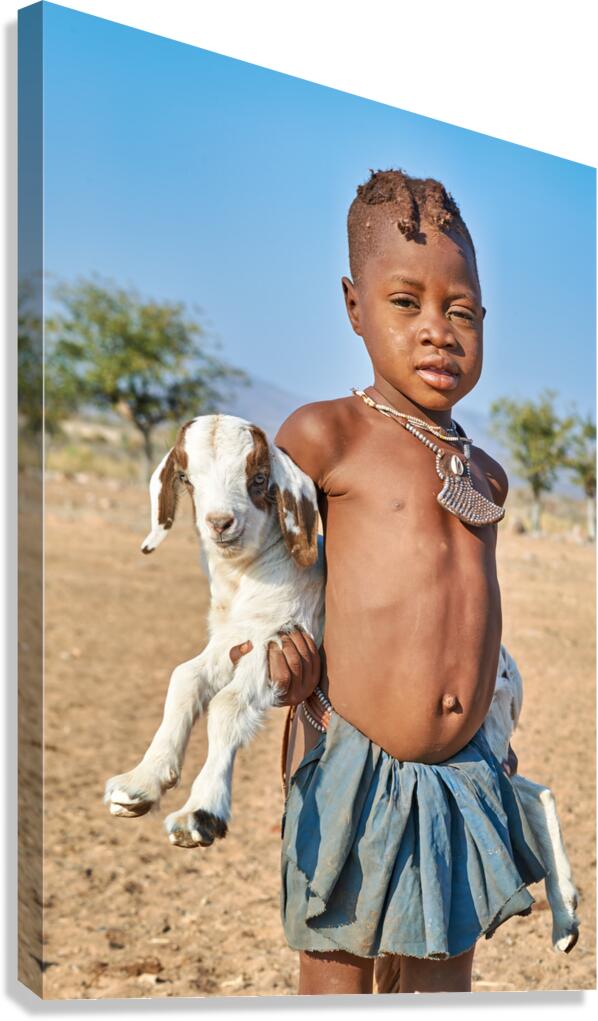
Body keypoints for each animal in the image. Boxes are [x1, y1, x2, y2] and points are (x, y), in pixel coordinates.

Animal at [104, 413, 579, 953]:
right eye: (186, 478)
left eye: (259, 479)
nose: (220, 524)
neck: (253, 577)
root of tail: (510, 667)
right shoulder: (232, 641)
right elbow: (183, 680)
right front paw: (140, 783)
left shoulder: (280, 638)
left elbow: (226, 705)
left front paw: (200, 814)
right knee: (530, 791)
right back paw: (567, 921)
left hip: (484, 730)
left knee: (523, 790)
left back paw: (565, 914)